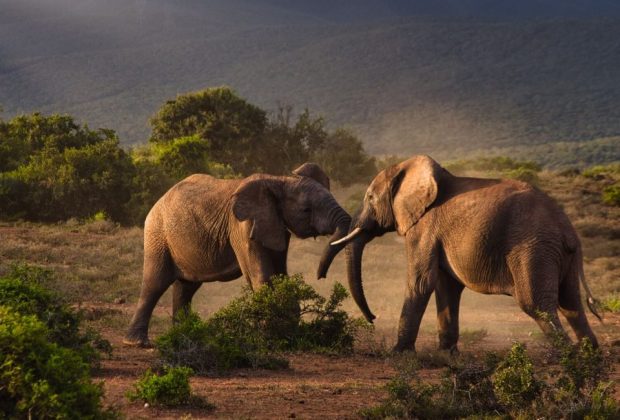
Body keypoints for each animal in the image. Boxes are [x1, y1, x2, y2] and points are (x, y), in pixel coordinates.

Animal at [123, 162, 352, 346]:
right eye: (306, 210)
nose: (320, 275)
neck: (280, 180)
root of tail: (160, 200)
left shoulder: (275, 225)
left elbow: (280, 275)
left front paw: (288, 333)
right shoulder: (242, 226)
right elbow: (261, 275)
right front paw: (269, 337)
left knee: (186, 287)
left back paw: (182, 337)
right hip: (157, 233)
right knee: (155, 283)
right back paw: (137, 343)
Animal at [332, 156, 600, 352]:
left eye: (370, 197)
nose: (373, 318)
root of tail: (568, 230)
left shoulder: (424, 228)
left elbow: (421, 283)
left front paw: (398, 354)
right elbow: (446, 286)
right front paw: (447, 355)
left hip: (533, 249)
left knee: (536, 304)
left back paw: (567, 361)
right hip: (558, 254)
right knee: (571, 303)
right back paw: (589, 357)